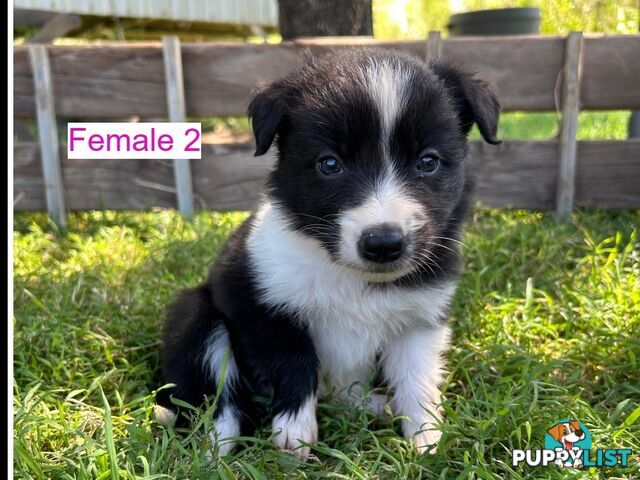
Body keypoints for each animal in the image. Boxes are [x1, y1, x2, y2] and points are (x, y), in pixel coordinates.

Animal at [156, 47, 500, 458]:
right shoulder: (258, 303)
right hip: (197, 315)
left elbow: (416, 376)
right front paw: (294, 430)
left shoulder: (419, 318)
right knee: (221, 400)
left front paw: (426, 436)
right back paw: (214, 451)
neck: (350, 275)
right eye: (329, 164)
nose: (383, 243)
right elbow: (293, 360)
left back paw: (376, 405)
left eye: (428, 161)